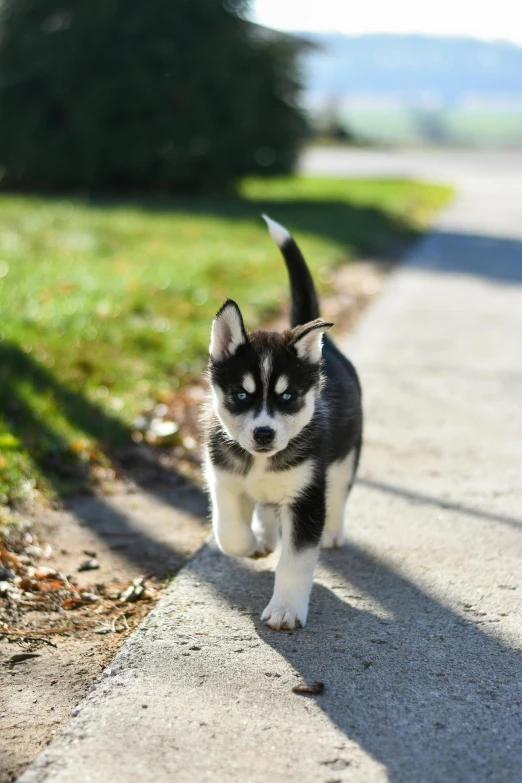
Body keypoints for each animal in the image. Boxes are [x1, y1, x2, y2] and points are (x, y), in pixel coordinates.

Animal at [203, 214, 362, 632]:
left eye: (287, 397)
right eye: (242, 396)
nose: (263, 433)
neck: (260, 461)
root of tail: (327, 348)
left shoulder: (306, 497)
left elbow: (297, 561)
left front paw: (286, 609)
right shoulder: (222, 478)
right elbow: (229, 533)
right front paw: (251, 543)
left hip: (346, 455)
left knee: (339, 493)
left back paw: (333, 531)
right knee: (263, 505)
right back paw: (264, 534)